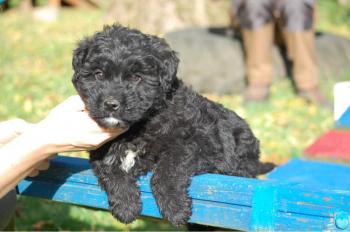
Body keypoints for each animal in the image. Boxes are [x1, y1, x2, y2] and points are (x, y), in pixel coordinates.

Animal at [71, 24, 274, 226]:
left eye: (136, 77)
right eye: (98, 74)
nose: (111, 104)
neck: (138, 126)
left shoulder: (197, 144)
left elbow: (168, 169)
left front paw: (175, 208)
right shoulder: (101, 151)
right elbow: (111, 170)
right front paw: (126, 205)